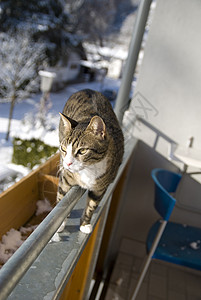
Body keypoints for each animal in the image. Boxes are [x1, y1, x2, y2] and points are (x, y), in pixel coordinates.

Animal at [56, 89, 124, 234]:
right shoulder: (66, 179)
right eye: (63, 149)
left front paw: (85, 224)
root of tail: (87, 89)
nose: (68, 163)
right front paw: (60, 225)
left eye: (82, 151)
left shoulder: (101, 187)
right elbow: (61, 199)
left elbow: (92, 205)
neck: (89, 169)